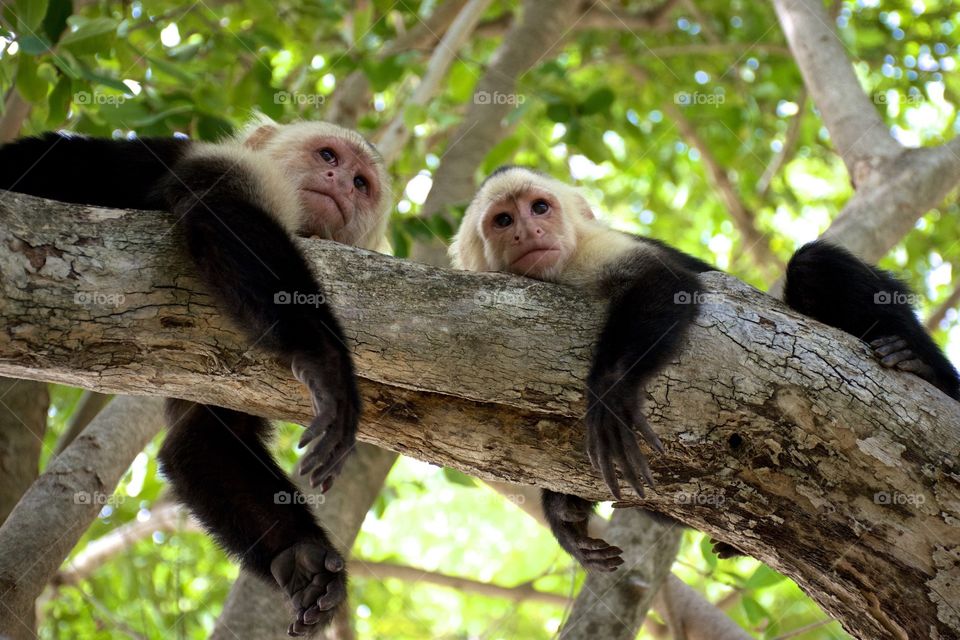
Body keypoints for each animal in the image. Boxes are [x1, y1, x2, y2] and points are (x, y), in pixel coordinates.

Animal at [0, 116, 392, 636]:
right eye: (328, 156)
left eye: (362, 184)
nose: (341, 183)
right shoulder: (237, 167)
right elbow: (222, 209)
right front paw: (327, 361)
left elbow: (202, 441)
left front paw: (303, 558)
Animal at [452, 164, 960, 568]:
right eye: (503, 220)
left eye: (540, 208)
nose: (528, 232)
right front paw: (564, 516)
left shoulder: (591, 250)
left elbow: (665, 281)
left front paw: (611, 391)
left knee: (813, 264)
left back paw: (921, 365)